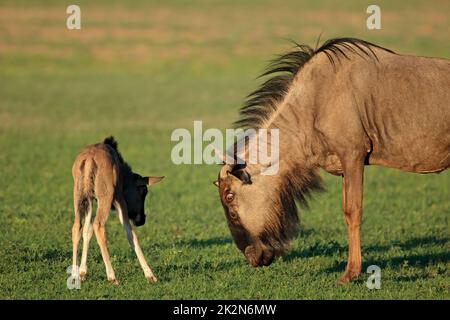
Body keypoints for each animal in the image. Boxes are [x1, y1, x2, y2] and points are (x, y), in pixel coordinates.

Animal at [69, 136, 163, 284]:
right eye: (143, 191)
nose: (141, 220)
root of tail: (89, 159)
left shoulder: (91, 200)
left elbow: (87, 231)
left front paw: (83, 272)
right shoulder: (119, 199)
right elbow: (130, 234)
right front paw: (150, 275)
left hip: (79, 197)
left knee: (77, 227)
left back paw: (74, 275)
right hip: (105, 198)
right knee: (98, 225)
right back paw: (112, 276)